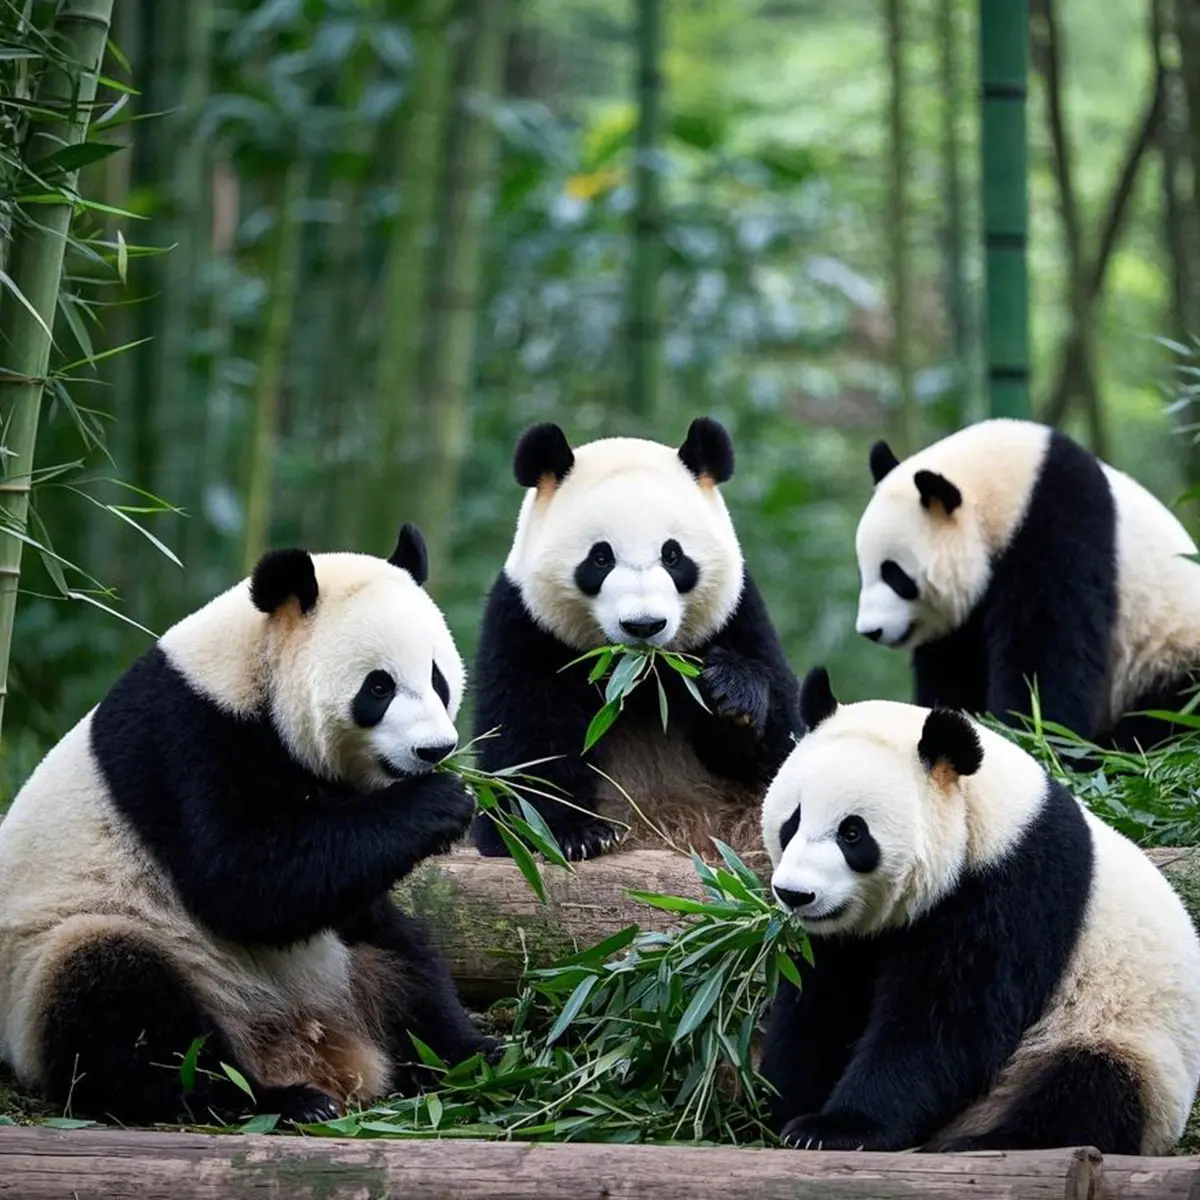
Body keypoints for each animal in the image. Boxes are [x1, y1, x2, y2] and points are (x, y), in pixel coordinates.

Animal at [0, 525, 495, 1126]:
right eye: (379, 688)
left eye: (439, 678)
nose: (435, 750)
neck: (247, 669)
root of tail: (306, 1042)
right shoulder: (185, 741)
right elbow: (242, 880)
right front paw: (441, 799)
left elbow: (335, 882)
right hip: (68, 954)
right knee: (123, 1009)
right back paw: (273, 1099)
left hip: (349, 962)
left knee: (407, 964)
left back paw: (479, 1055)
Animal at [470, 417, 801, 863]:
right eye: (600, 558)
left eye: (673, 555)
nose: (644, 625)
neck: (640, 675)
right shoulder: (525, 625)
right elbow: (527, 746)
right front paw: (573, 834)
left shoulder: (739, 616)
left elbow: (781, 748)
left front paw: (731, 693)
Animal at [759, 665, 1200, 1155]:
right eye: (793, 821)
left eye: (852, 833)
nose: (795, 894)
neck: (984, 818)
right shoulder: (847, 938)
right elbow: (821, 998)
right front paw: (787, 1102)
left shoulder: (1013, 888)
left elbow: (948, 1021)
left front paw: (837, 1127)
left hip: (1119, 1039)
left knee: (1088, 1087)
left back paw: (987, 1140)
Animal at [856, 418, 1200, 749]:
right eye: (864, 570)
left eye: (894, 575)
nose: (870, 631)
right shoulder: (964, 619)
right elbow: (954, 667)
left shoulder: (1060, 529)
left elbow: (1046, 653)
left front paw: (1029, 735)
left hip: (1166, 656)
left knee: (1168, 718)